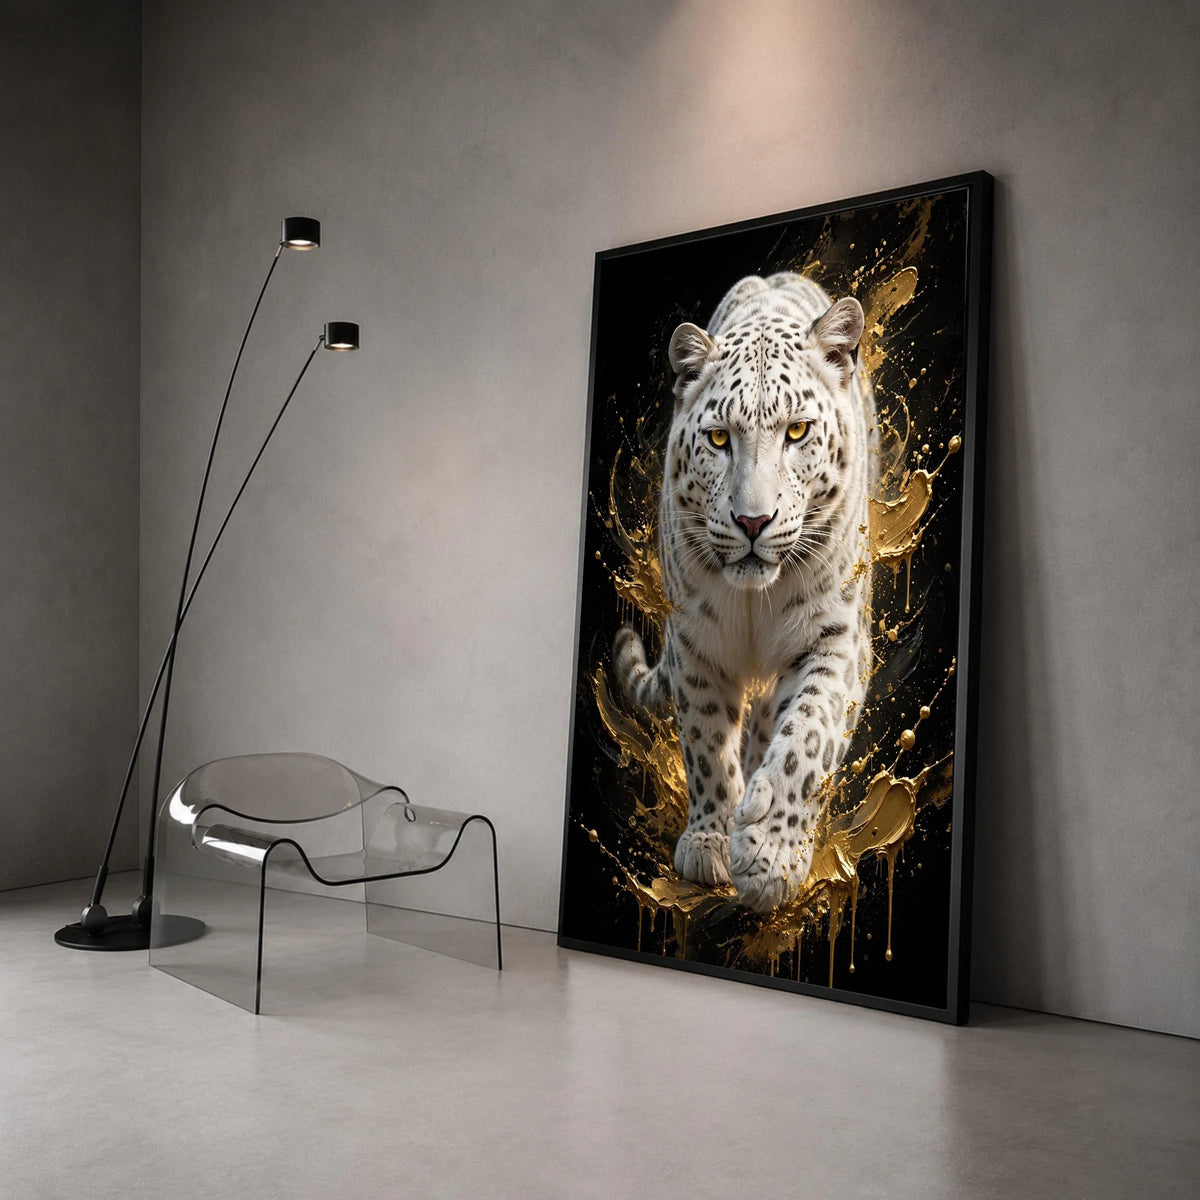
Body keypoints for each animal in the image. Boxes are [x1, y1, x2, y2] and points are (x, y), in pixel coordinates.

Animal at [613, 271, 876, 912]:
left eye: (797, 431)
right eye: (717, 439)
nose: (753, 521)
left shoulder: (837, 640)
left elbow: (807, 734)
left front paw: (768, 858)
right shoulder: (694, 641)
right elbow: (705, 739)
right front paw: (709, 841)